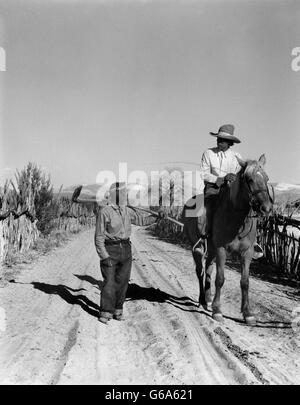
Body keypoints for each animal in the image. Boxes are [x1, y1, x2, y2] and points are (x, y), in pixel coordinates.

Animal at [182, 154, 274, 326]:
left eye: (266, 178)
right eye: (250, 179)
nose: (266, 208)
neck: (236, 217)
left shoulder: (247, 253)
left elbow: (245, 282)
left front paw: (248, 314)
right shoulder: (221, 250)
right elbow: (220, 279)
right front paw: (217, 311)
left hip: (211, 251)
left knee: (208, 269)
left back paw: (208, 299)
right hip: (197, 249)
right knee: (200, 271)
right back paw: (203, 300)